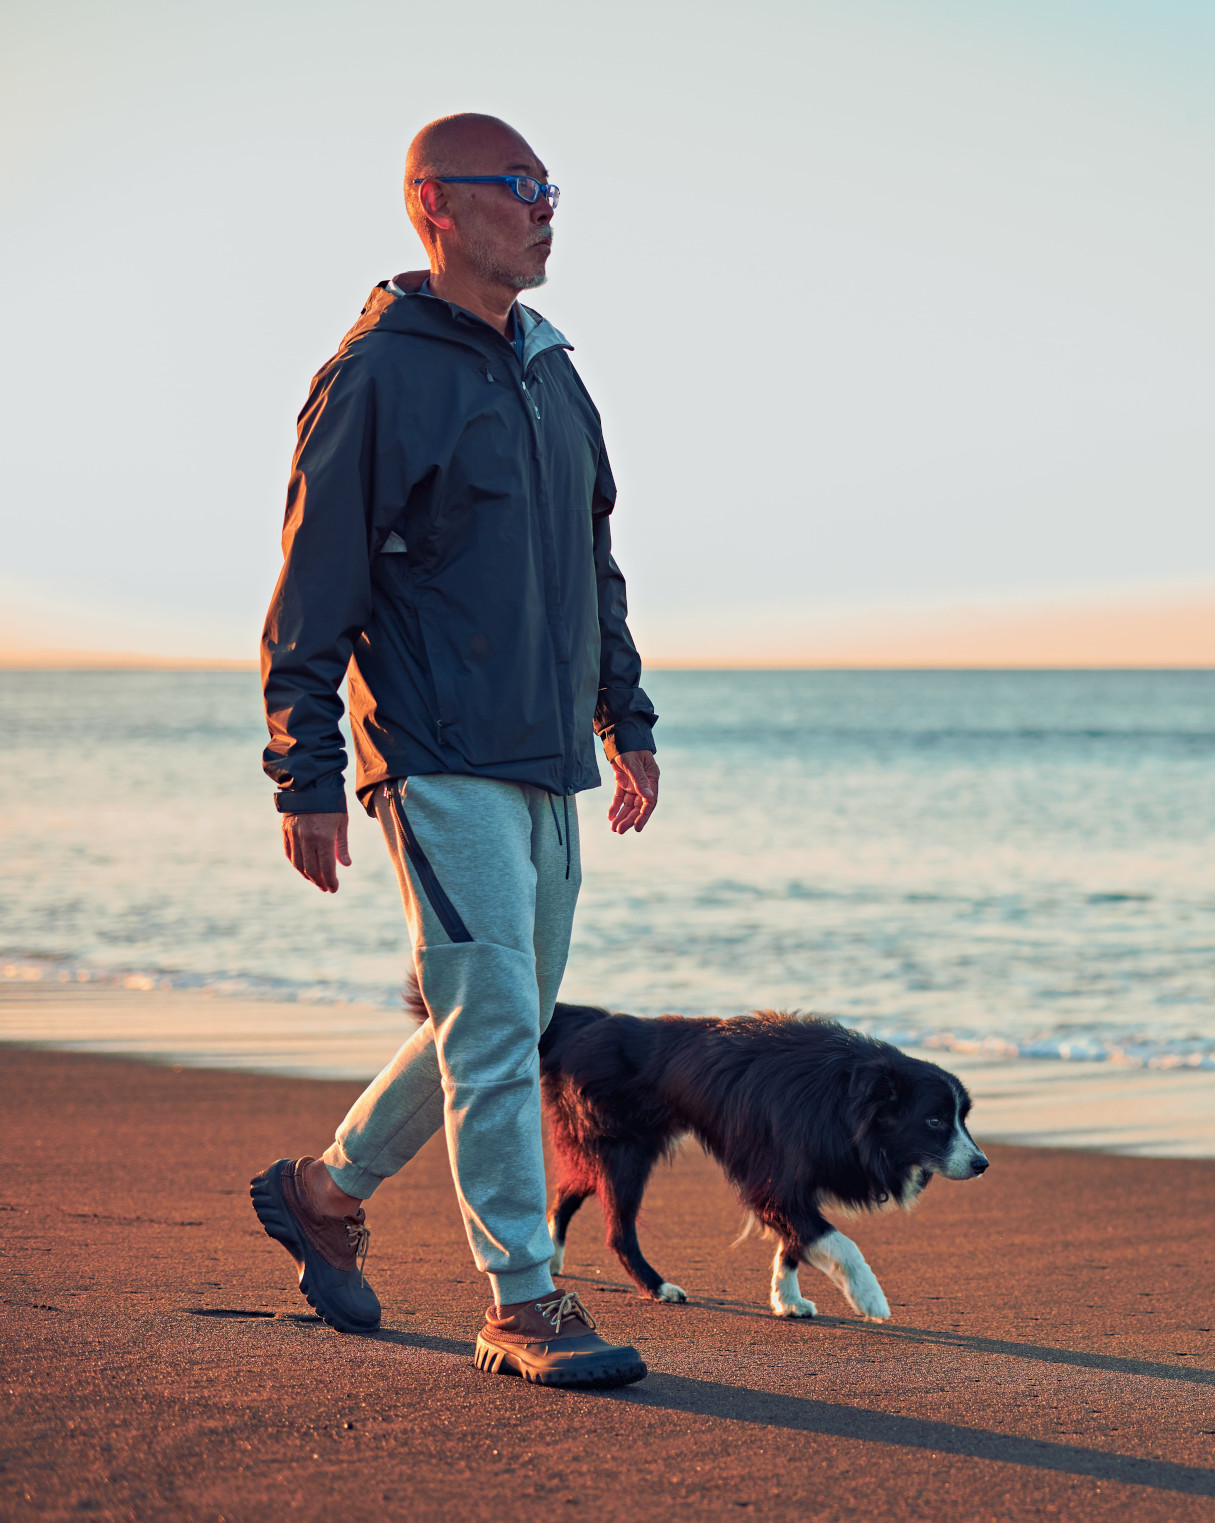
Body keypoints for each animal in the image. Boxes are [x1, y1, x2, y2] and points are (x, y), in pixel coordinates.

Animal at [538, 1005, 986, 1315]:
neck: (844, 1099)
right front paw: (869, 1297)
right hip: (624, 1151)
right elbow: (836, 1241)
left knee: (568, 1191)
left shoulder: (792, 1181)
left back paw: (553, 1256)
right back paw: (657, 1287)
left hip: (610, 1150)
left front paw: (787, 1300)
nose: (982, 1165)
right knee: (618, 1231)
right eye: (934, 1120)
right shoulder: (777, 1180)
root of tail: (589, 1023)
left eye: (963, 1118)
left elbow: (795, 1240)